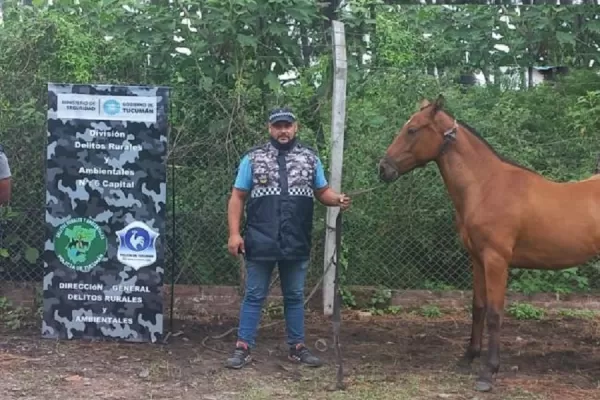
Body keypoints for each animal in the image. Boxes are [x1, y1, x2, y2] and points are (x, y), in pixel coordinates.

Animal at [378, 95, 600, 392]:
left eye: (412, 130)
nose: (383, 169)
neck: (486, 187)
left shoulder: (496, 260)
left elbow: (495, 313)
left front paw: (488, 372)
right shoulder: (477, 259)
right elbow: (478, 308)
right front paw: (467, 358)